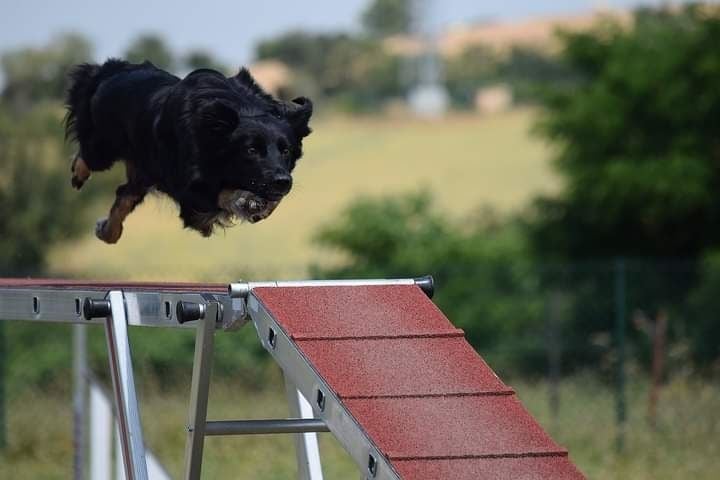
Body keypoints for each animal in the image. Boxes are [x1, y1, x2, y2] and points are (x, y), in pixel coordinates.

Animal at [67, 58, 312, 242]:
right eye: (251, 150)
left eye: (286, 151)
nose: (282, 182)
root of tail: (112, 70)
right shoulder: (186, 189)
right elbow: (221, 195)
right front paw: (245, 200)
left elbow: (268, 201)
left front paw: (257, 204)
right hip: (103, 148)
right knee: (87, 156)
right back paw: (79, 176)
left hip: (143, 171)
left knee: (124, 194)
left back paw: (108, 231)